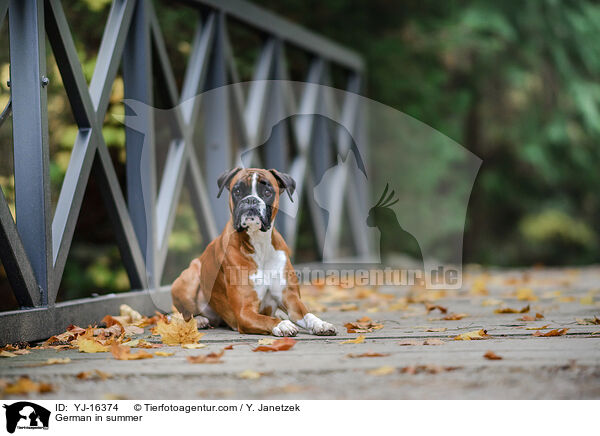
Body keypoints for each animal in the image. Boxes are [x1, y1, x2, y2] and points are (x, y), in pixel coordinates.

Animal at [170, 168, 338, 338]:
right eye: (237, 191)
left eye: (267, 192)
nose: (251, 200)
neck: (260, 243)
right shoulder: (244, 312)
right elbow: (266, 320)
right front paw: (282, 324)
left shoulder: (292, 301)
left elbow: (307, 314)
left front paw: (320, 323)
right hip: (189, 277)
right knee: (185, 313)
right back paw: (199, 320)